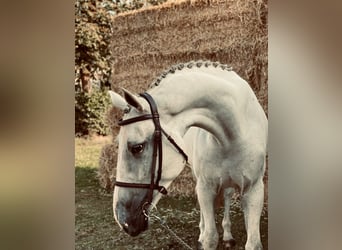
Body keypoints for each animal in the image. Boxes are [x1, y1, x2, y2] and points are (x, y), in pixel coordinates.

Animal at [109, 61, 268, 250]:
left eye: (137, 148)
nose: (122, 221)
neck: (233, 136)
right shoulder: (206, 187)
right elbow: (210, 237)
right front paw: (204, 236)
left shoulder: (254, 190)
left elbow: (253, 242)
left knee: (228, 196)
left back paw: (228, 235)